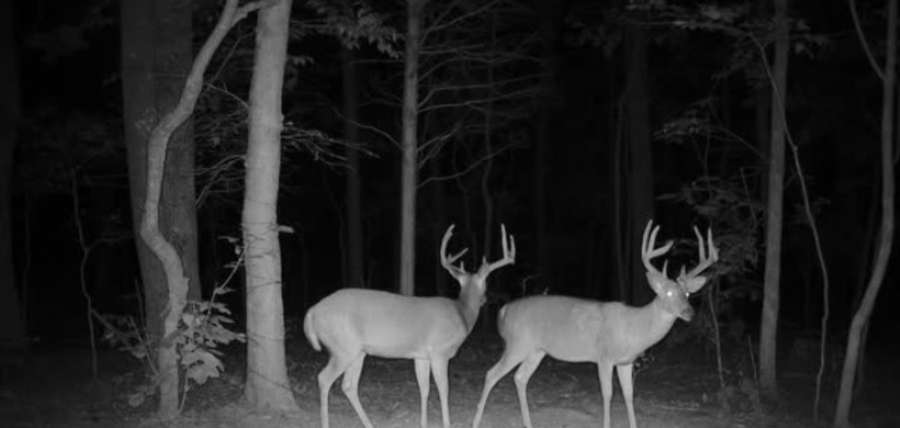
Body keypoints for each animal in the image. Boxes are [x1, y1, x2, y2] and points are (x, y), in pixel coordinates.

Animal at [303, 224, 515, 428]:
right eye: (486, 283)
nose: (485, 299)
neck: (462, 314)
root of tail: (312, 311)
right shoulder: (440, 352)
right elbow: (443, 389)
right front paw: (447, 423)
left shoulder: (421, 356)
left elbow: (424, 389)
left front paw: (423, 423)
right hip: (343, 347)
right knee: (324, 378)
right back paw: (326, 423)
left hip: (357, 351)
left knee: (348, 385)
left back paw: (369, 424)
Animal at [471, 220, 718, 428]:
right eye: (667, 292)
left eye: (687, 293)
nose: (689, 312)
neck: (635, 327)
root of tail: (503, 311)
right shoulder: (604, 356)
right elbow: (607, 394)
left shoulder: (626, 362)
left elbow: (629, 395)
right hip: (518, 343)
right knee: (491, 374)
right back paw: (476, 421)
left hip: (536, 350)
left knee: (520, 378)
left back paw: (528, 423)